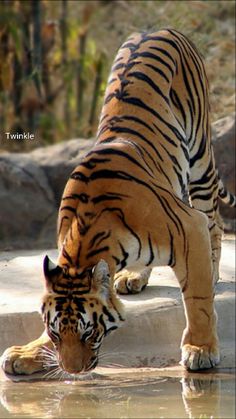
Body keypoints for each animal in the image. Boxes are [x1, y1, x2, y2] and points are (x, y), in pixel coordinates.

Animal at [0, 28, 235, 378]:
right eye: (56, 333)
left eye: (88, 331)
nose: (73, 371)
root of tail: (158, 29)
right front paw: (26, 353)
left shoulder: (188, 227)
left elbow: (198, 297)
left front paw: (201, 349)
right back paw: (133, 278)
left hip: (200, 159)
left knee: (214, 222)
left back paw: (214, 268)